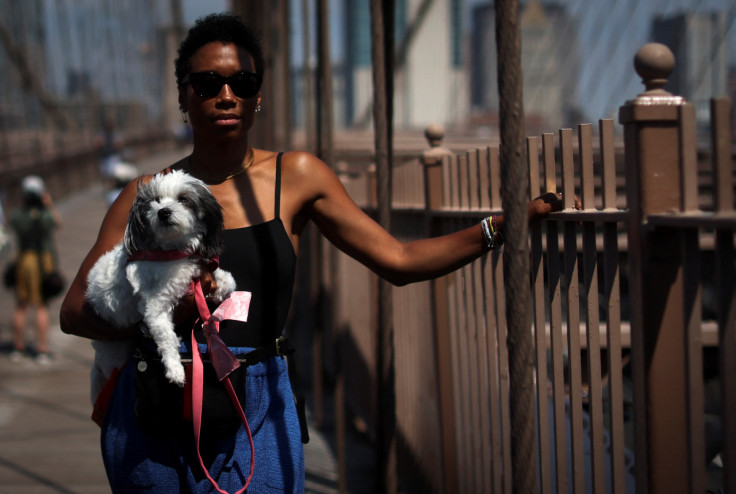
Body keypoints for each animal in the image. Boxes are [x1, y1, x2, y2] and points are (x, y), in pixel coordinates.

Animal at [86, 168, 237, 404]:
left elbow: (223, 279)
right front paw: (175, 369)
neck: (171, 252)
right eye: (155, 201)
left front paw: (223, 287)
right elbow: (167, 337)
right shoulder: (155, 307)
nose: (163, 212)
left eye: (183, 199)